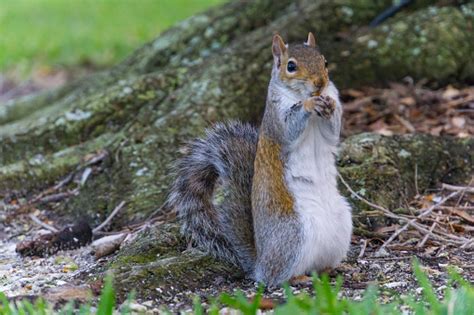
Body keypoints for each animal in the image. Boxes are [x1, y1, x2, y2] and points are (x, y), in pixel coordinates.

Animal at [168, 32, 354, 286]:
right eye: (291, 66)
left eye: (325, 62)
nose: (320, 83)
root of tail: (259, 264)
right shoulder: (277, 118)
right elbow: (289, 129)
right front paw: (307, 105)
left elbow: (332, 132)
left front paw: (331, 104)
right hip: (292, 234)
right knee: (276, 277)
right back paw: (297, 278)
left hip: (342, 223)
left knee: (320, 264)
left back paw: (336, 267)